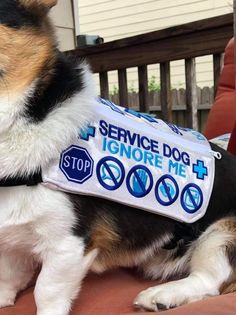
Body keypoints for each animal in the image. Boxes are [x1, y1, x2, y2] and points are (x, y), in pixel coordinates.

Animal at [0, 0, 236, 315]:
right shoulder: (13, 240)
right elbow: (8, 276)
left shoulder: (68, 243)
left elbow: (47, 290)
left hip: (221, 234)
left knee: (210, 279)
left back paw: (162, 295)